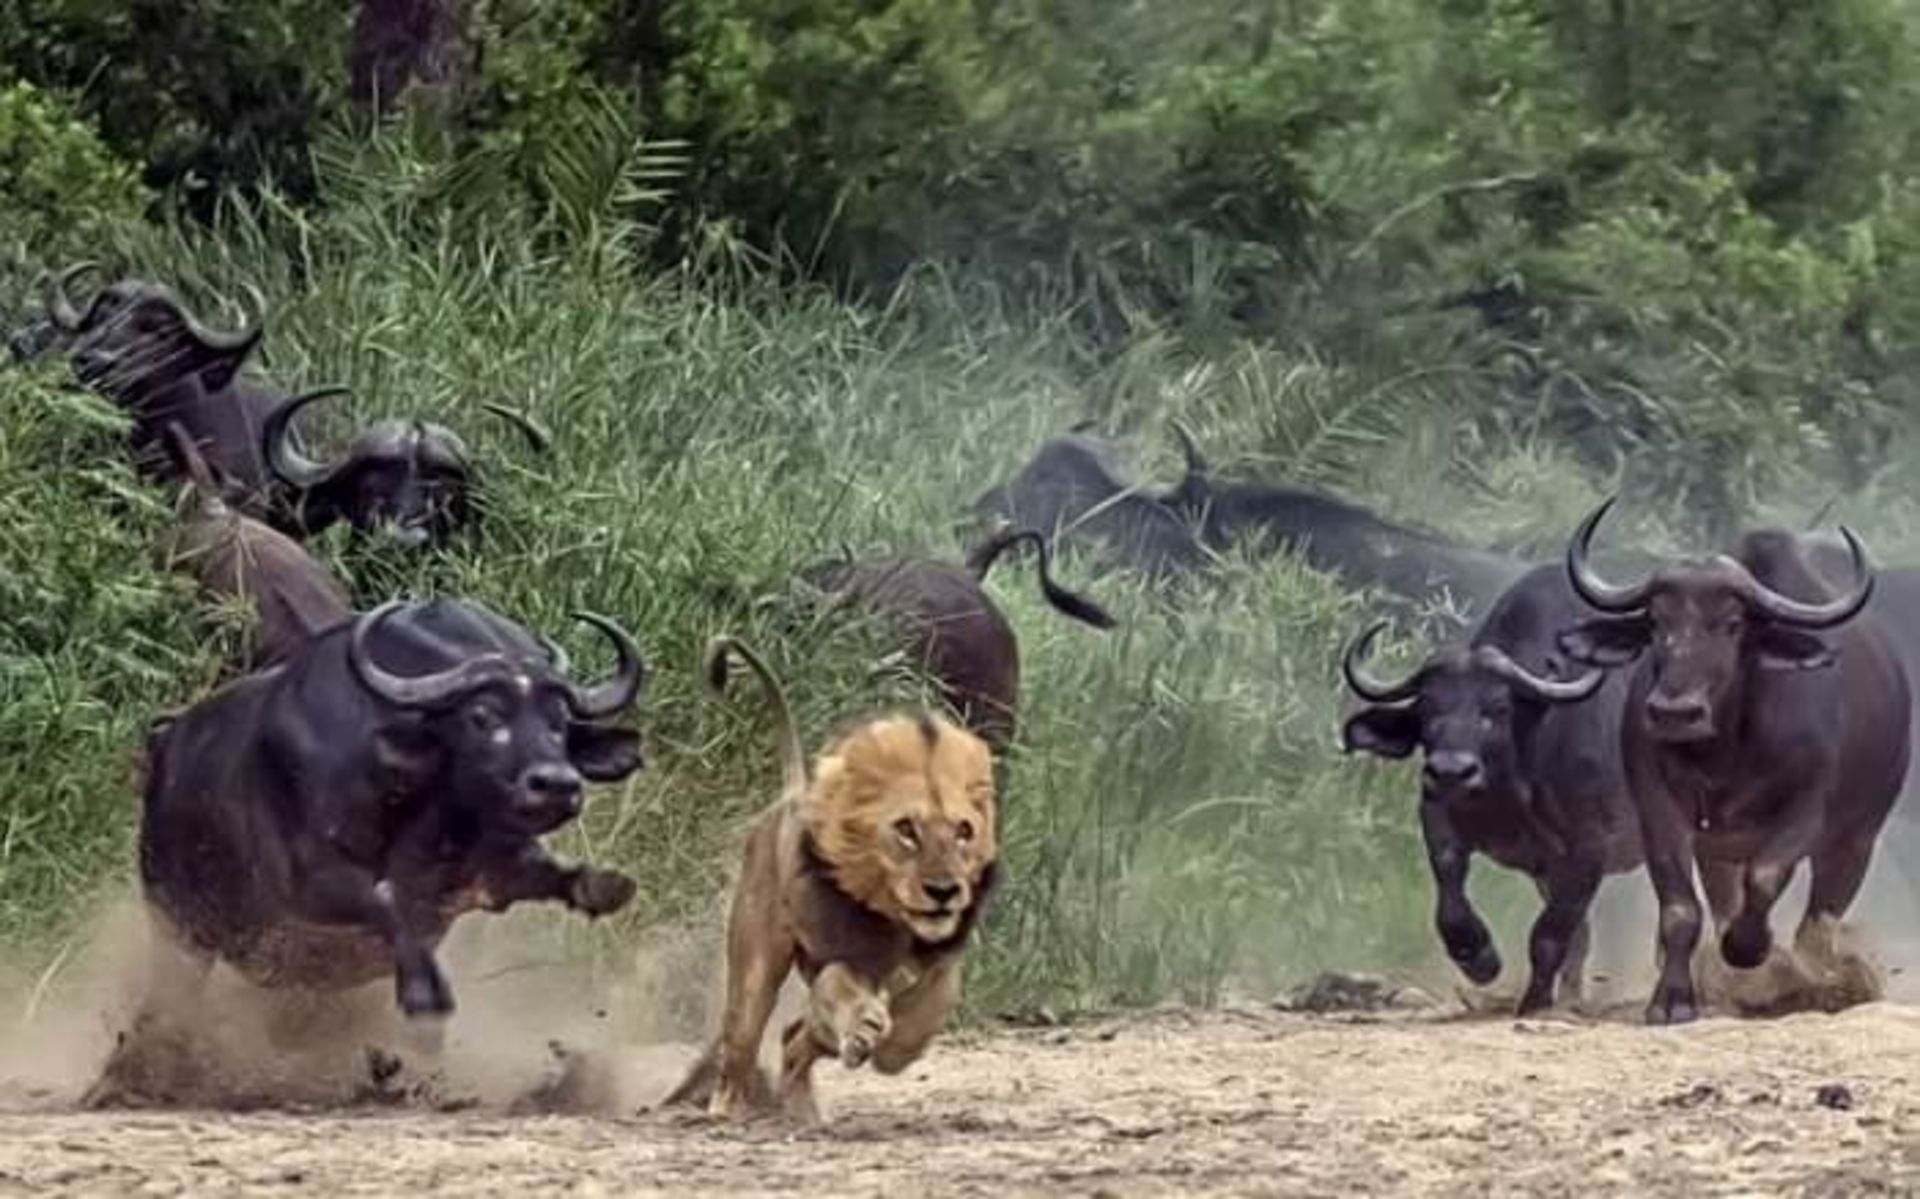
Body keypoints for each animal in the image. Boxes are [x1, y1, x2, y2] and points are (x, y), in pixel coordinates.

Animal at [663, 634, 1000, 1123]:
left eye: (964, 831)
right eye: (906, 830)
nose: (944, 891)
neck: (893, 919)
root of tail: (791, 792)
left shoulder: (938, 960)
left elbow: (934, 998)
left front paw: (894, 1043)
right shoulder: (833, 955)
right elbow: (840, 983)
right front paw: (866, 1026)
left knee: (793, 1038)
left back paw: (806, 1108)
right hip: (755, 966)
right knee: (741, 1044)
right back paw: (728, 1109)